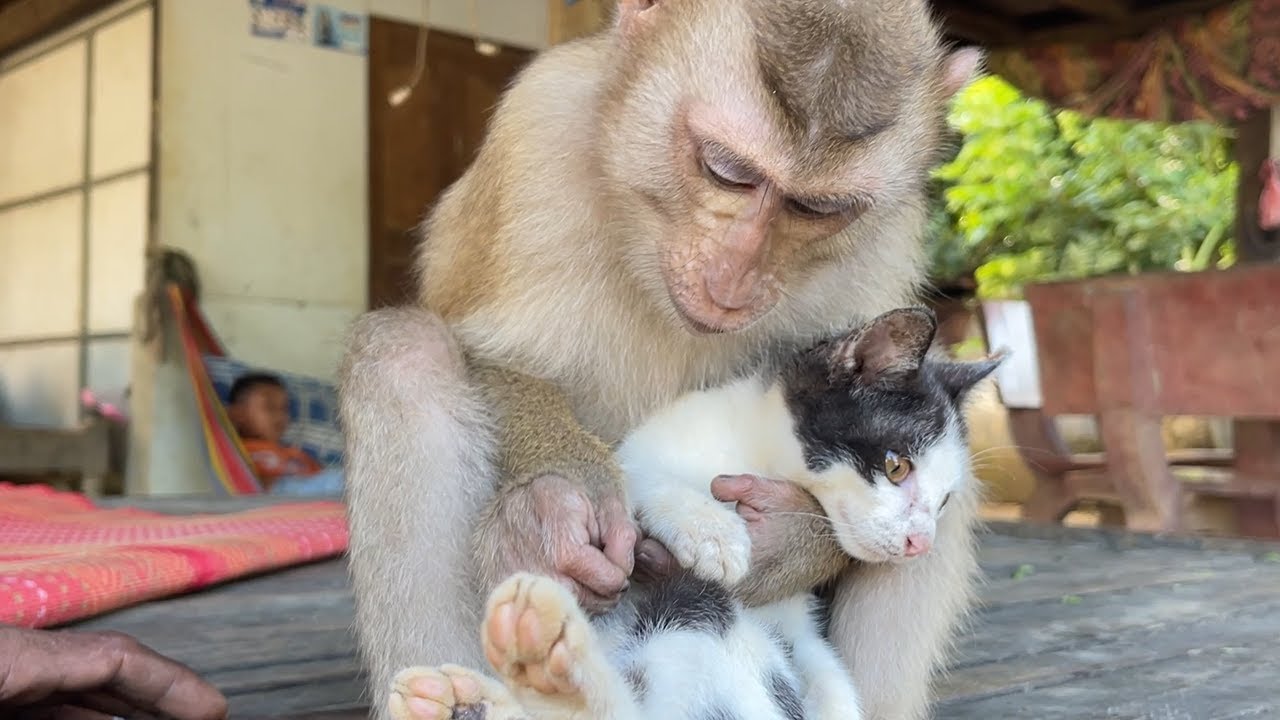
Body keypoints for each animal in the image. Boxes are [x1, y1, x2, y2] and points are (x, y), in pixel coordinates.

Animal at [338, 2, 984, 719]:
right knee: (404, 355)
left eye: (816, 208)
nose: (732, 279)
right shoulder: (538, 122)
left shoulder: (892, 230)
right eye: (727, 170)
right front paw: (557, 510)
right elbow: (497, 356)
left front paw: (787, 541)